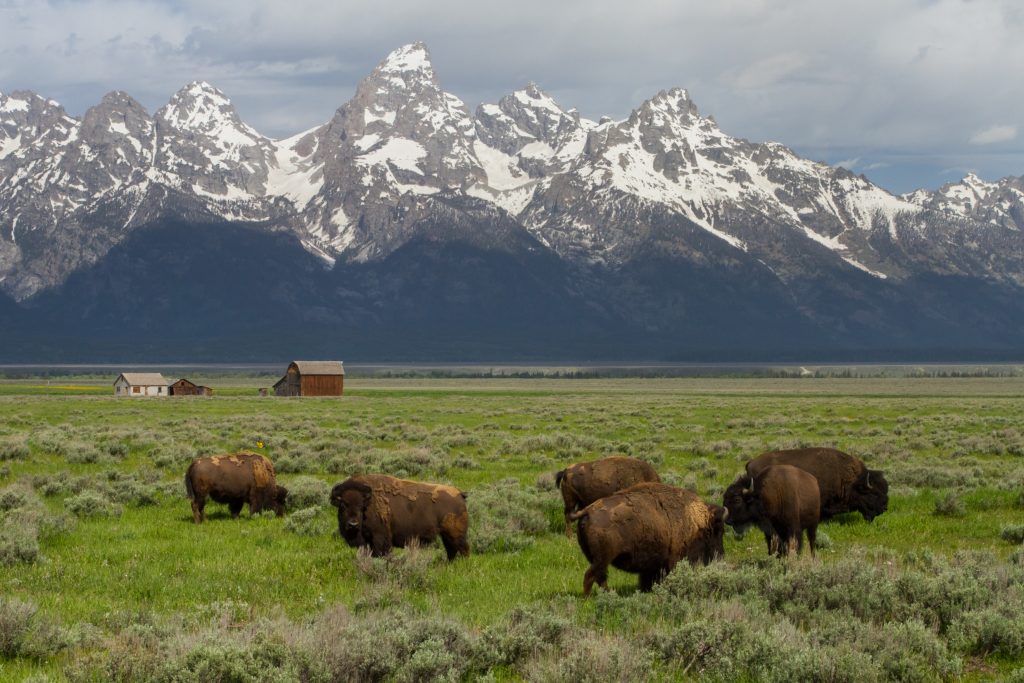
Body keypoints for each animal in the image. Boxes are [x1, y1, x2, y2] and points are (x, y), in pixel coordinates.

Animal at [329, 475, 468, 561]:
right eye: (343, 504)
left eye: (361, 506)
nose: (353, 524)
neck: (369, 502)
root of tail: (459, 493)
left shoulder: (380, 538)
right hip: (446, 536)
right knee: (451, 550)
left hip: (456, 535)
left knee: (463, 549)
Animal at [573, 481, 724, 598]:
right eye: (718, 532)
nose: (721, 556)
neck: (697, 523)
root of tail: (588, 510)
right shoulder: (673, 560)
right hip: (602, 559)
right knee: (592, 576)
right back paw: (590, 597)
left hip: (597, 559)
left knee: (599, 576)